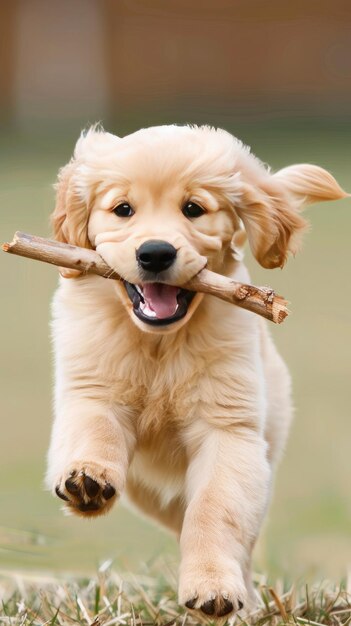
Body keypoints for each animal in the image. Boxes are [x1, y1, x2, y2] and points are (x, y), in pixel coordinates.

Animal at [45, 124, 348, 616]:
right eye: (123, 209)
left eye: (194, 209)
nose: (155, 253)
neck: (159, 343)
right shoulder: (91, 387)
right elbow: (96, 429)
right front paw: (88, 478)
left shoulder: (228, 431)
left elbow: (214, 510)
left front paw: (213, 586)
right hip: (149, 491)